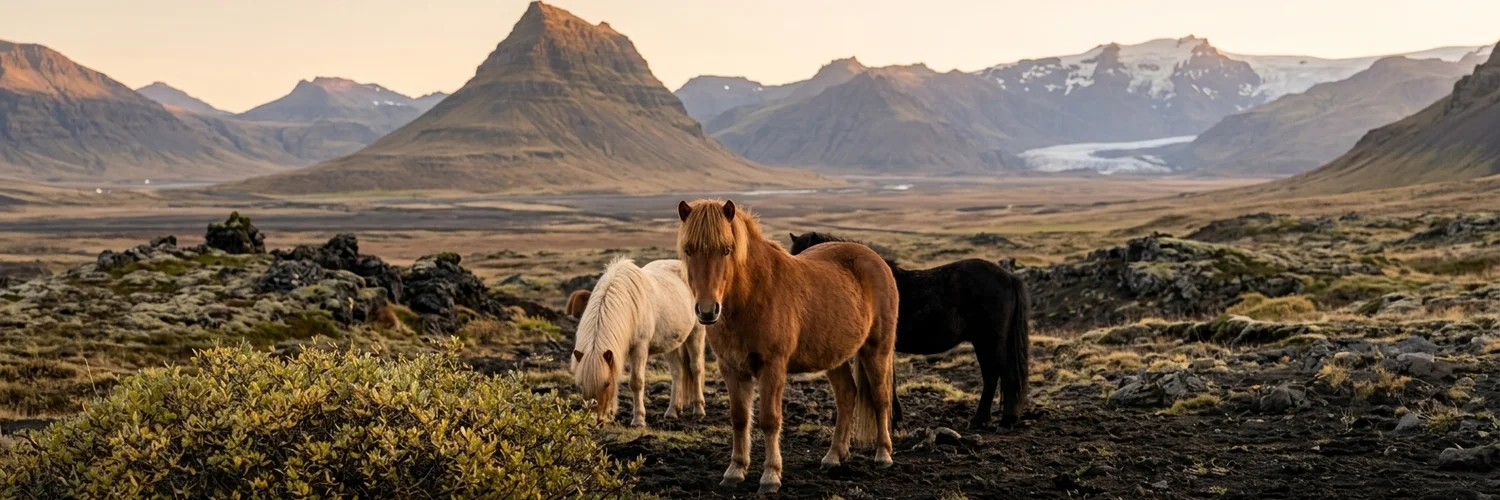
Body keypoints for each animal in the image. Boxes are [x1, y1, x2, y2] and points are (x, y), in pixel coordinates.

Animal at [570, 258, 707, 427]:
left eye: (606, 384)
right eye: (582, 384)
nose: (594, 421)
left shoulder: (639, 348)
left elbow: (636, 382)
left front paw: (639, 420)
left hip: (696, 333)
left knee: (696, 368)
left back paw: (699, 410)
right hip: (671, 344)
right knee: (677, 372)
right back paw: (672, 411)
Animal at [677, 199, 899, 495]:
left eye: (727, 249)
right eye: (688, 250)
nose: (707, 310)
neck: (753, 295)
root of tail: (875, 259)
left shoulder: (772, 367)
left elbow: (770, 420)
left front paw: (770, 476)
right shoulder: (732, 368)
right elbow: (739, 418)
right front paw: (735, 471)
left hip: (877, 349)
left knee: (880, 397)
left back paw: (883, 454)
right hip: (836, 356)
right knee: (846, 396)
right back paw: (833, 456)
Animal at [790, 231, 1031, 428]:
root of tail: (1009, 276)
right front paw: (895, 419)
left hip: (990, 340)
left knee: (1002, 374)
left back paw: (1002, 420)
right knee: (993, 376)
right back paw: (983, 419)